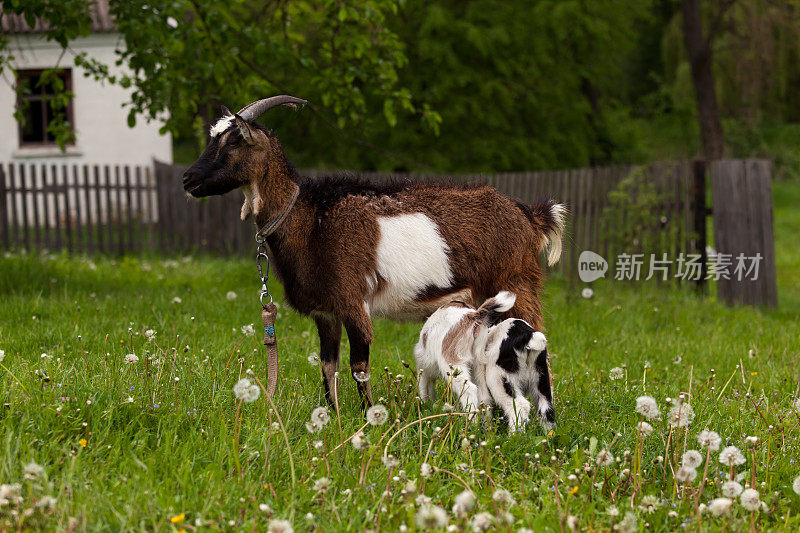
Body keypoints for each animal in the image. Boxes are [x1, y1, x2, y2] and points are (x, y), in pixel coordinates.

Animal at [184, 97, 564, 410]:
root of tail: (531, 216)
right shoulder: (326, 311)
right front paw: (333, 414)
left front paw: (368, 416)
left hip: (517, 287)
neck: (310, 220)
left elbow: (359, 366)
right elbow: (328, 365)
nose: (188, 180)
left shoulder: (353, 301)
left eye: (234, 141)